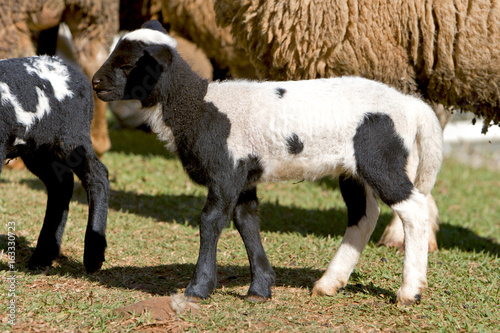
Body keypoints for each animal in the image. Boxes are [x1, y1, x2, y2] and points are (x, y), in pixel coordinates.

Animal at [93, 20, 442, 304]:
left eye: (128, 64)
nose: (95, 82)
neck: (197, 106)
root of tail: (411, 106)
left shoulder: (225, 170)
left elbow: (211, 221)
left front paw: (198, 288)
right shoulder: (243, 175)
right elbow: (246, 221)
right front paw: (260, 288)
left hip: (381, 160)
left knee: (414, 210)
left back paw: (410, 291)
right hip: (354, 169)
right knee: (363, 216)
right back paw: (329, 283)